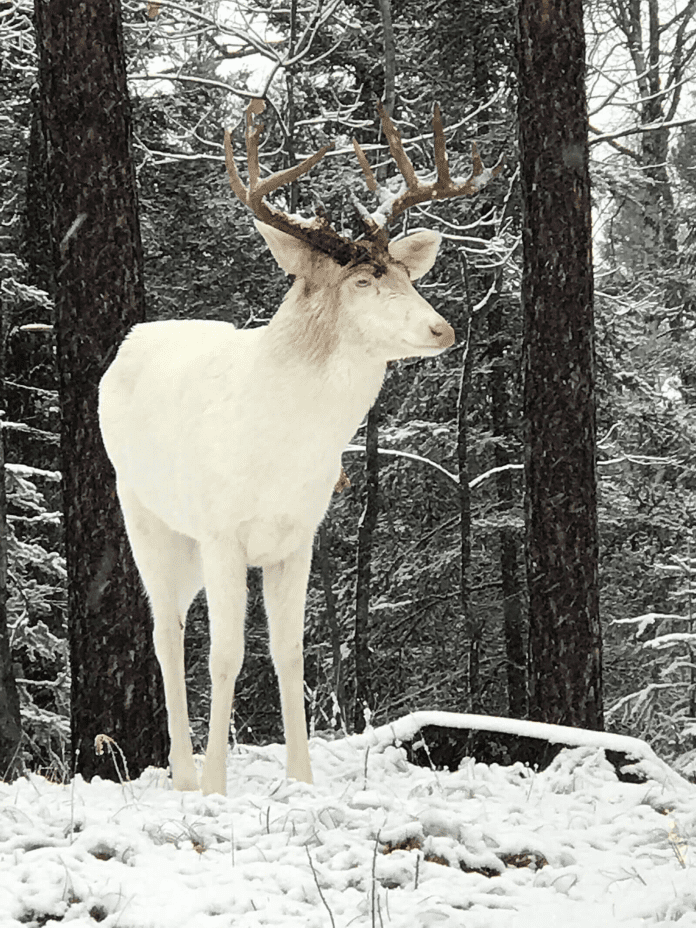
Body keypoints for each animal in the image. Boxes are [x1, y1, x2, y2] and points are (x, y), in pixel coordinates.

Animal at [98, 98, 502, 796]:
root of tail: (130, 344)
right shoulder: (224, 530)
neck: (283, 445)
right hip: (148, 517)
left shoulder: (298, 534)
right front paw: (216, 786)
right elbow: (226, 654)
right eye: (362, 280)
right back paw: (183, 775)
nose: (440, 328)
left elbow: (288, 652)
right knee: (166, 632)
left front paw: (303, 779)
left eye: (405, 272)